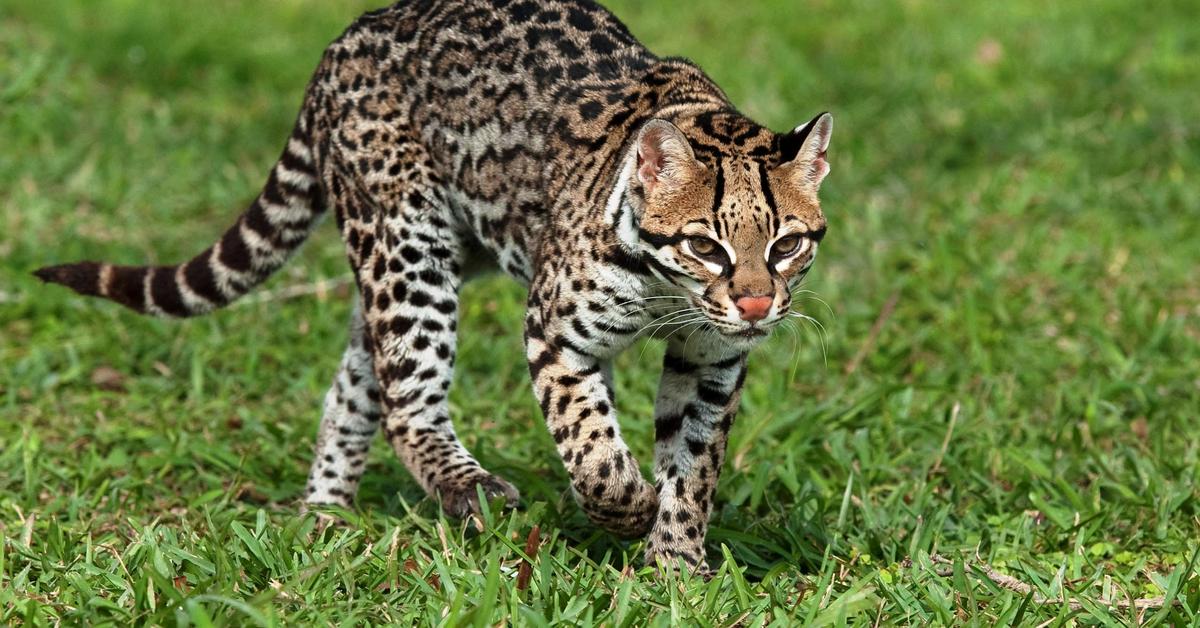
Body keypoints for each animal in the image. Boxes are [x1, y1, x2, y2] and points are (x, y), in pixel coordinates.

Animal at [35, 0, 825, 571]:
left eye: (787, 245)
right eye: (705, 246)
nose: (757, 304)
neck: (668, 291)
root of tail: (345, 38)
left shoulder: (711, 360)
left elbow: (694, 462)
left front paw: (677, 566)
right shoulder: (555, 333)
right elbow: (591, 444)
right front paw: (627, 505)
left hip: (407, 264)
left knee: (359, 382)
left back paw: (324, 517)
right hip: (406, 240)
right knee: (406, 403)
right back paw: (469, 488)